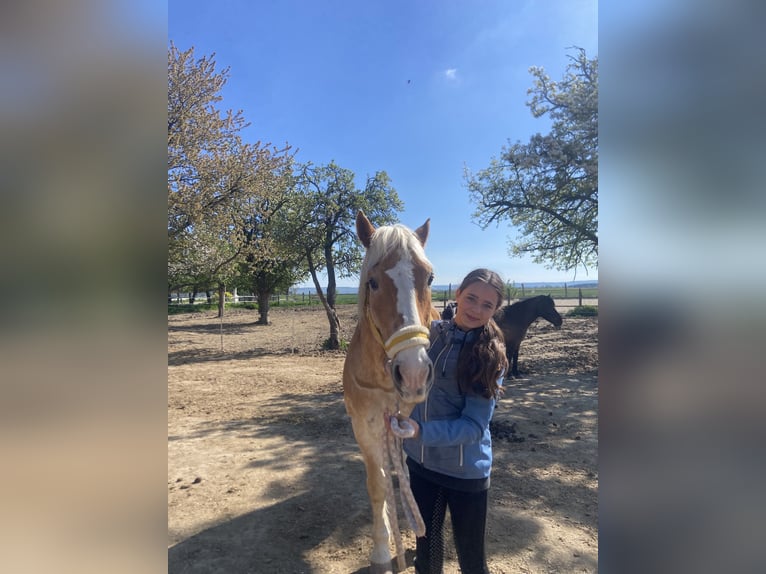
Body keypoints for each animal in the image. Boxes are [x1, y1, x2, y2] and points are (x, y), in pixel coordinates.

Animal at [343, 210, 440, 574]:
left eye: (429, 278)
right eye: (372, 282)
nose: (413, 372)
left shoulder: (404, 422)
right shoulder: (364, 429)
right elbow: (378, 484)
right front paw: (383, 551)